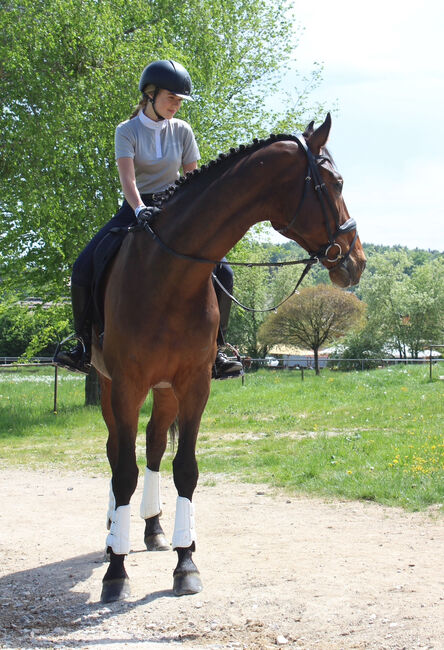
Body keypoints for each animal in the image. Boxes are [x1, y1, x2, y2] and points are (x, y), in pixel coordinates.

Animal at [90, 112, 364, 604]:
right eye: (335, 182)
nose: (357, 261)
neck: (168, 272)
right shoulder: (125, 386)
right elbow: (123, 472)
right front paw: (116, 573)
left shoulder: (194, 385)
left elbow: (185, 469)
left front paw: (186, 563)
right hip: (107, 386)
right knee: (115, 451)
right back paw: (111, 535)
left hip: (165, 391)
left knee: (154, 446)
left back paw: (153, 528)